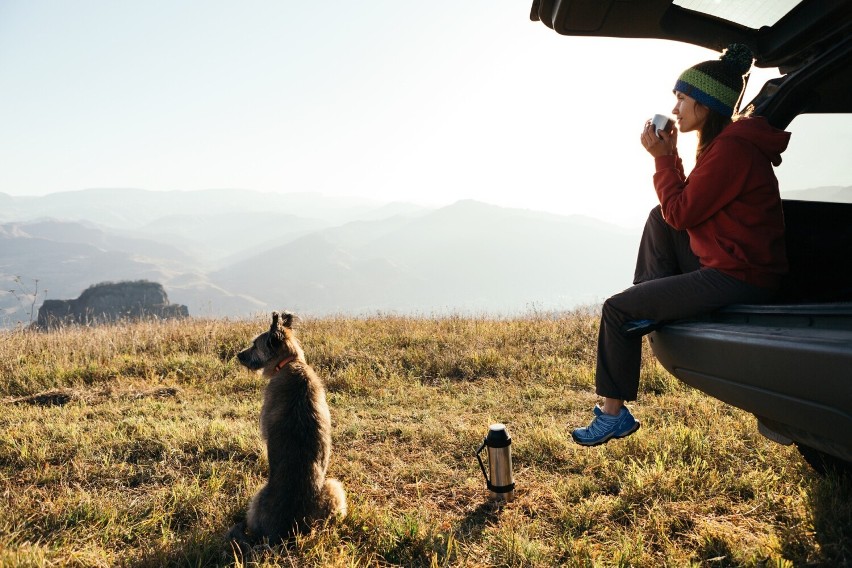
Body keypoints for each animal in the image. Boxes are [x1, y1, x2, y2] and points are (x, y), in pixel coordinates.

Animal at [228, 310, 348, 544]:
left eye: (255, 345)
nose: (238, 355)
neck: (289, 363)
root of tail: (288, 531)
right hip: (333, 489)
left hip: (257, 500)